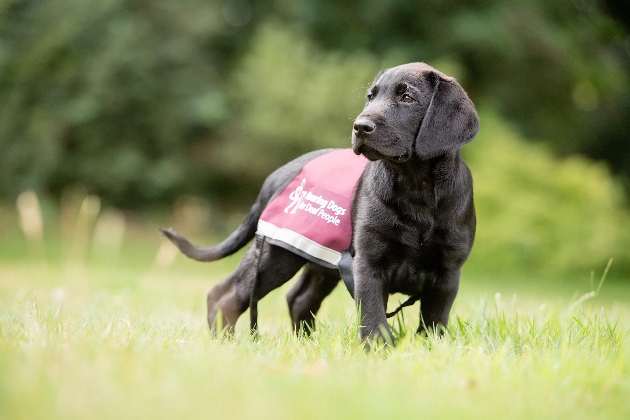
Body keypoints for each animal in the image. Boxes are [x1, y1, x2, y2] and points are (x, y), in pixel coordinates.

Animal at [163, 63, 478, 344]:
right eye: (371, 96)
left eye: (407, 97)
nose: (360, 126)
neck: (416, 189)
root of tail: (276, 176)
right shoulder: (368, 263)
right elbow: (374, 317)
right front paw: (378, 351)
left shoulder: (448, 273)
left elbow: (434, 323)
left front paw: (428, 349)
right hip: (276, 253)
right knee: (224, 295)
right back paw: (225, 343)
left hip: (321, 260)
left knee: (298, 298)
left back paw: (304, 343)